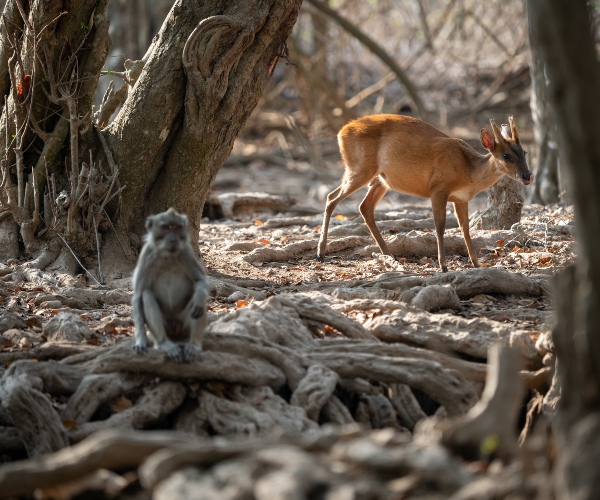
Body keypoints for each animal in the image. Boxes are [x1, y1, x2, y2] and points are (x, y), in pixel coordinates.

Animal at [131, 207, 209, 364]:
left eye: (177, 228)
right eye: (166, 228)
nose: (173, 239)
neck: (168, 256)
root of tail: (175, 328)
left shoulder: (187, 252)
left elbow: (200, 281)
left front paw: (199, 298)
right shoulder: (146, 255)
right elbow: (138, 296)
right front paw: (141, 340)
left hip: (183, 323)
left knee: (199, 304)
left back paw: (194, 344)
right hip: (166, 325)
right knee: (146, 295)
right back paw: (164, 343)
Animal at [316, 114, 532, 272]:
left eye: (524, 153)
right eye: (506, 155)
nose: (528, 176)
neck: (468, 171)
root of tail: (341, 132)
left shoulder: (461, 198)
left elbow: (465, 228)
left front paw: (476, 263)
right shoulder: (438, 189)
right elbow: (440, 226)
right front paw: (443, 266)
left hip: (382, 179)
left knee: (364, 207)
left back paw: (389, 255)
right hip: (359, 168)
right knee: (331, 198)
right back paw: (321, 252)